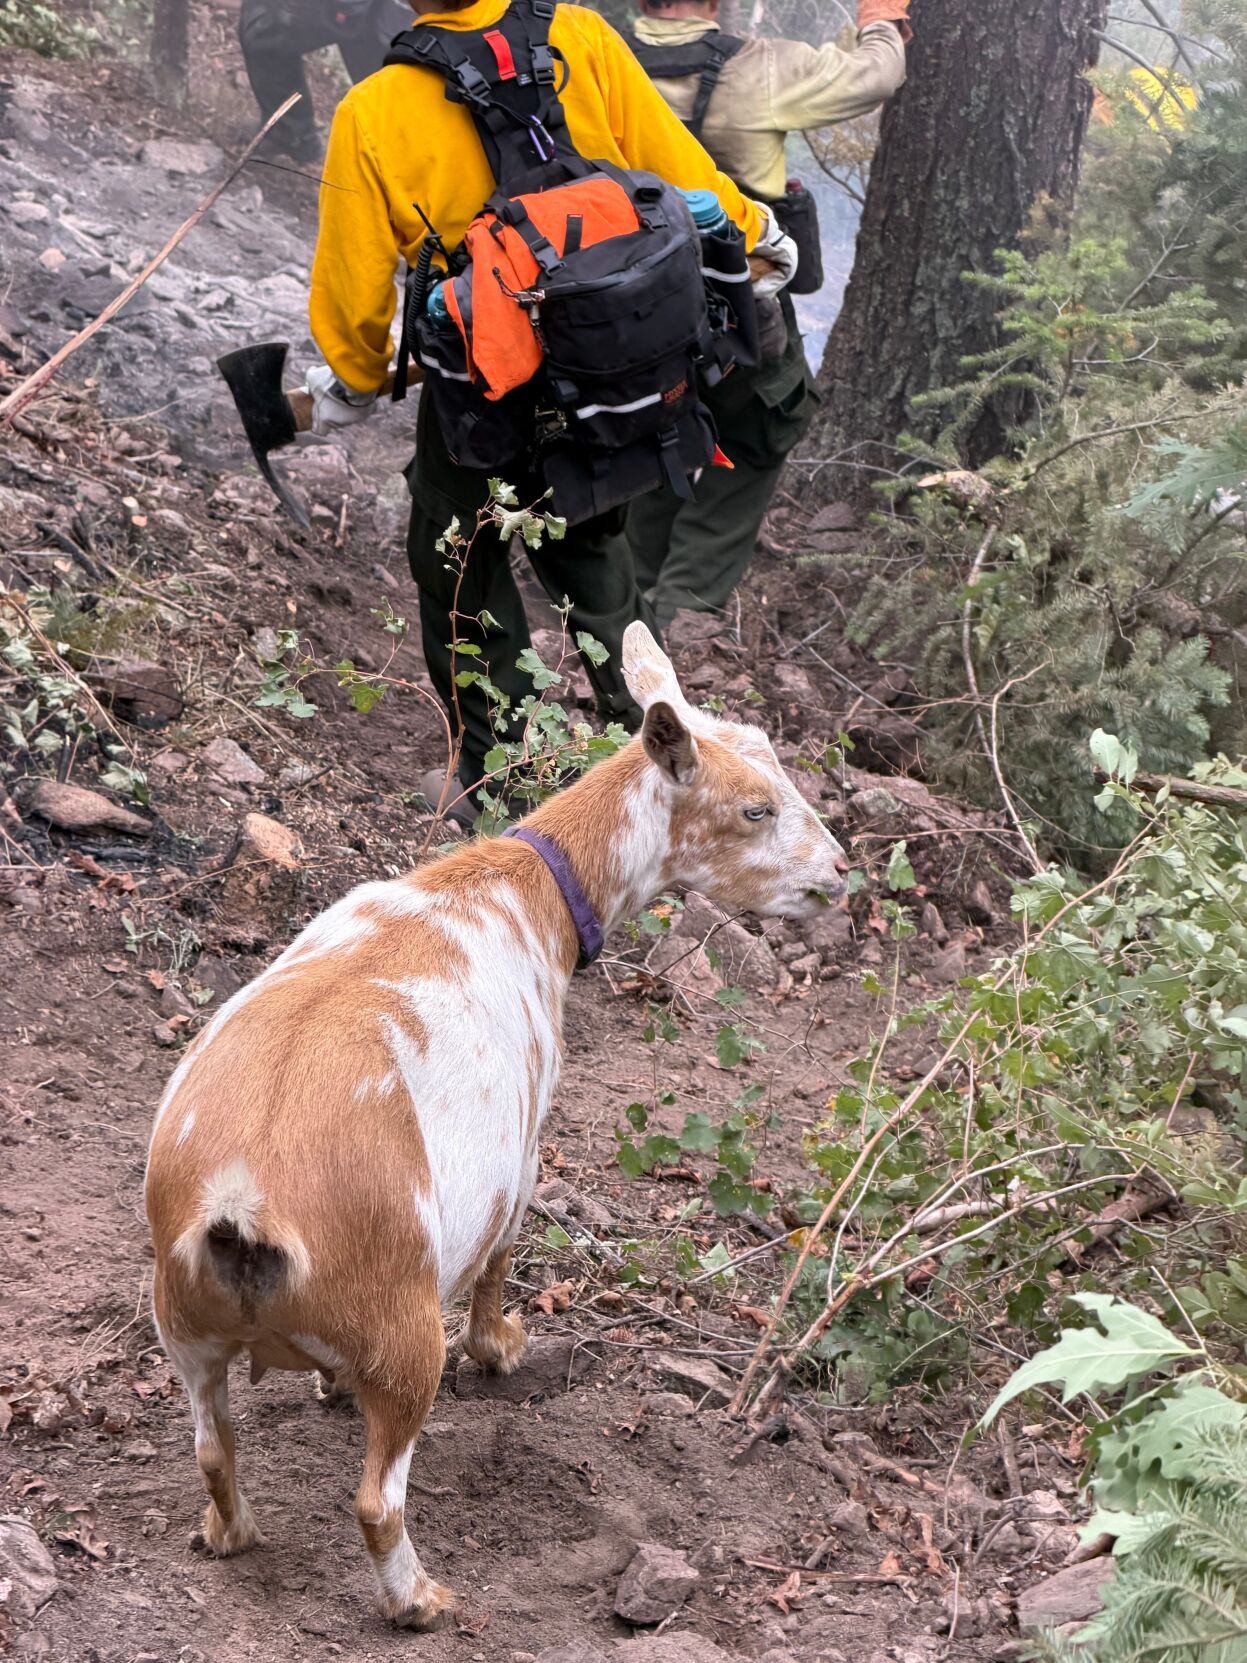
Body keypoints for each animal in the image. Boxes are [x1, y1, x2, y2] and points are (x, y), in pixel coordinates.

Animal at [145, 622, 849, 1628]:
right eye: (755, 808)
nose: (839, 871)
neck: (519, 891)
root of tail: (242, 1200)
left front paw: (325, 1382)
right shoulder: (520, 1149)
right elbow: (502, 1258)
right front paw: (505, 1348)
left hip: (184, 1328)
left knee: (211, 1443)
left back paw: (228, 1534)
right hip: (404, 1336)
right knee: (377, 1496)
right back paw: (420, 1599)